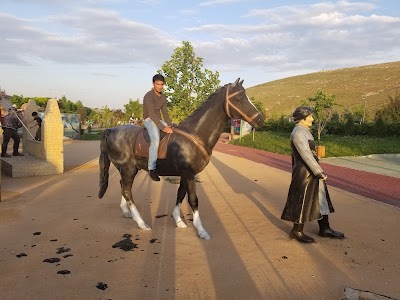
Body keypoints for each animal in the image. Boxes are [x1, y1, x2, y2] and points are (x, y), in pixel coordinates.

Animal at [98, 79, 264, 239]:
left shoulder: (186, 174)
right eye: (239, 99)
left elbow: (180, 194)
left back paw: (127, 212)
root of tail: (111, 130)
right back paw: (141, 223)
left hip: (127, 169)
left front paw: (178, 220)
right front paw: (201, 230)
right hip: (128, 169)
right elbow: (193, 199)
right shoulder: (188, 173)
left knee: (123, 187)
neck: (196, 135)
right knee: (127, 191)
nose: (261, 120)